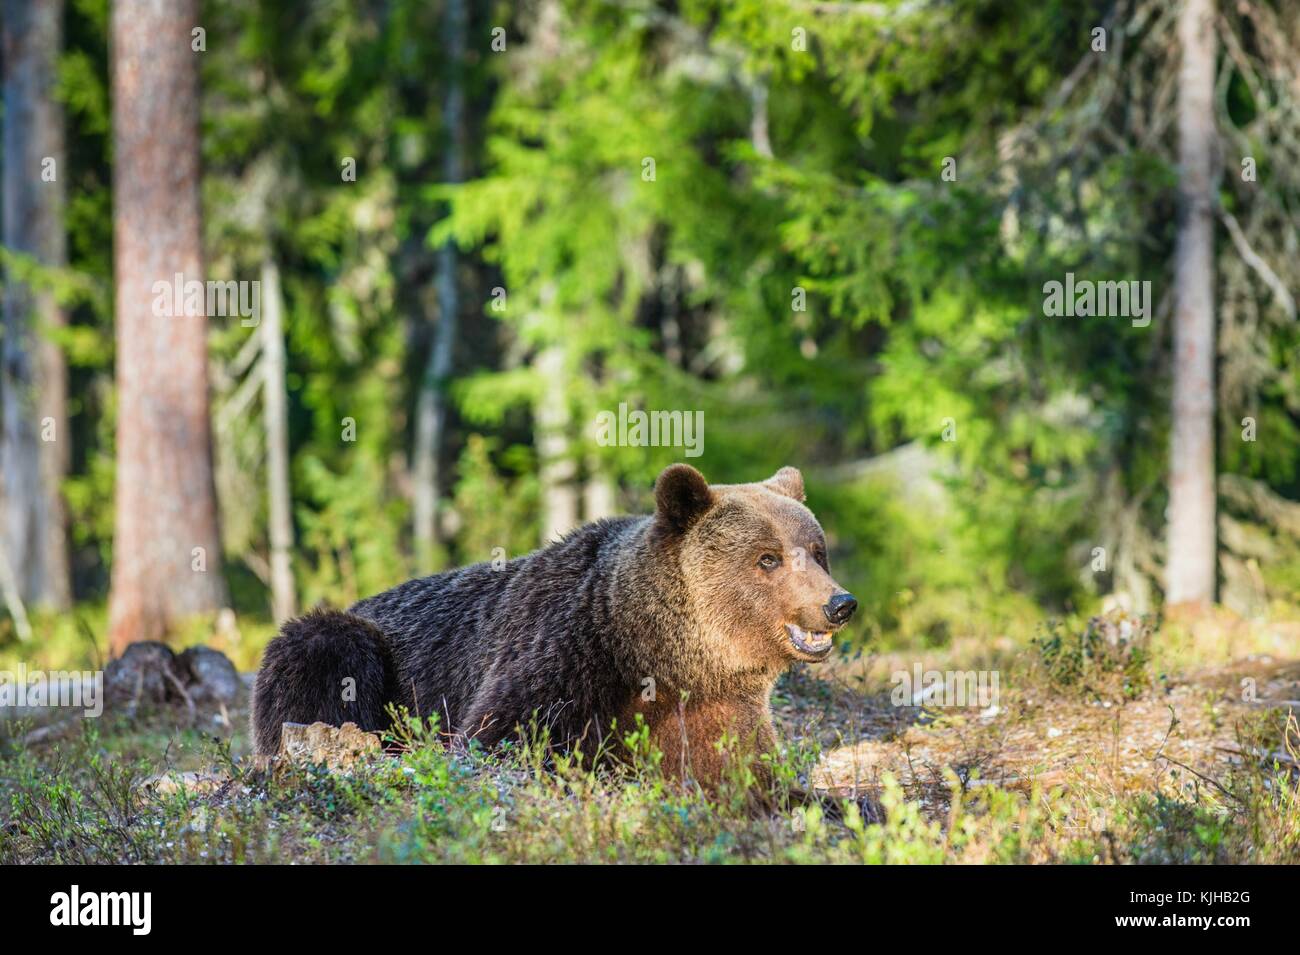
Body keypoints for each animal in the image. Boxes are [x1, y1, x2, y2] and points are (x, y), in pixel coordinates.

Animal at [251, 463, 858, 793]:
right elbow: (502, 740)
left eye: (815, 549)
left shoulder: (717, 704)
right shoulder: (563, 653)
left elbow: (749, 776)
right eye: (768, 558)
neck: (659, 654)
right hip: (350, 644)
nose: (839, 603)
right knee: (325, 655)